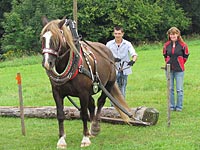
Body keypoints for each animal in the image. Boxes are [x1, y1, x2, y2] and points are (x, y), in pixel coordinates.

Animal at [40, 17, 132, 148]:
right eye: (43, 38)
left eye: (56, 39)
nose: (47, 63)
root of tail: (108, 51)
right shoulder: (57, 92)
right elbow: (60, 115)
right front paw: (62, 140)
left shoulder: (82, 93)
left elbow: (83, 114)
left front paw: (85, 139)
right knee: (92, 104)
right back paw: (90, 130)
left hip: (108, 85)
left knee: (100, 102)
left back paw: (94, 127)